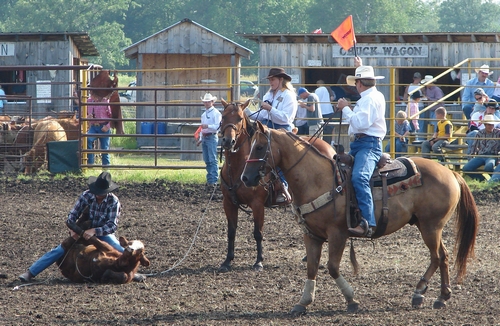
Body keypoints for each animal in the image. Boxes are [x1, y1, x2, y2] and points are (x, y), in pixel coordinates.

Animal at [220, 99, 334, 272]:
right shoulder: (228, 203)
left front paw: (258, 262)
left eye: (239, 118)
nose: (228, 141)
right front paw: (227, 260)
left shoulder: (257, 204)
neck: (239, 166)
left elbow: (258, 233)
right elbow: (231, 232)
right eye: (223, 116)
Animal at [242, 121, 480, 314]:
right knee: (443, 256)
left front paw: (351, 300)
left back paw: (421, 292)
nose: (245, 178)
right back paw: (440, 296)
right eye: (250, 145)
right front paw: (303, 302)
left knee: (437, 257)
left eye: (260, 147)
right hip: (426, 225)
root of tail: (451, 173)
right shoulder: (311, 235)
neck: (317, 179)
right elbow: (311, 267)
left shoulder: (337, 234)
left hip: (432, 226)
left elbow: (332, 267)